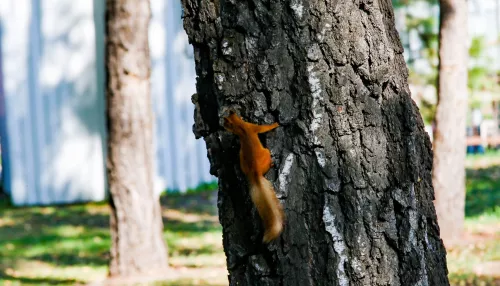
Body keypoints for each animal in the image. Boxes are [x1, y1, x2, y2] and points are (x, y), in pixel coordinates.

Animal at [224, 110, 286, 242]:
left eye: (226, 123)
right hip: (267, 152)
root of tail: (255, 172)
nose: (222, 125)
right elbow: (264, 128)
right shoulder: (254, 127)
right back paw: (272, 163)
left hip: (242, 160)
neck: (241, 127)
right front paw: (275, 124)